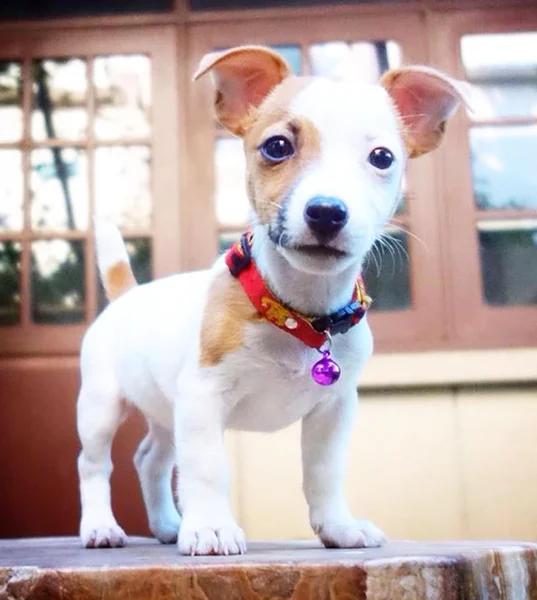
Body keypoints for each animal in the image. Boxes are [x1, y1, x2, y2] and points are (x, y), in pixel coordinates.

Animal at [76, 44, 464, 556]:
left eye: (382, 157)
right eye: (277, 147)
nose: (327, 211)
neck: (298, 313)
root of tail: (128, 293)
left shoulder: (333, 409)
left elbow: (323, 472)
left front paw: (338, 526)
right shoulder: (202, 398)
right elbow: (207, 469)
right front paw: (212, 527)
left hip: (164, 412)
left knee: (150, 459)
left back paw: (166, 524)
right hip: (101, 407)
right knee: (95, 464)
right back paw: (101, 526)